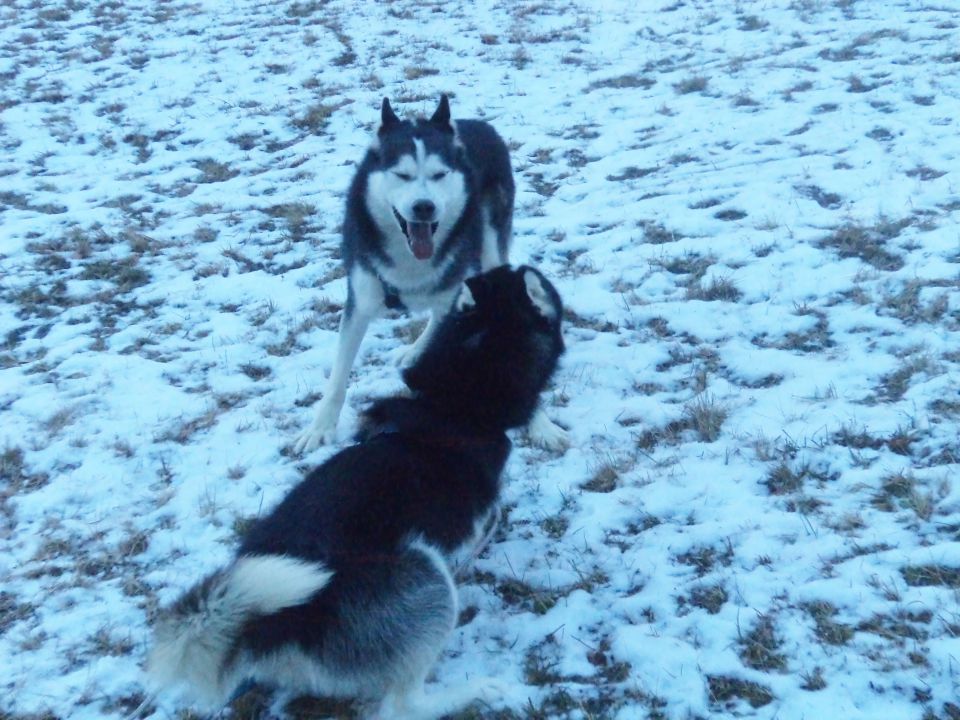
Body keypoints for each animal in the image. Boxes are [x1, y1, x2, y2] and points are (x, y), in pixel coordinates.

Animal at [148, 266, 564, 720]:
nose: (508, 265)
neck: (454, 405)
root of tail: (275, 626)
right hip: (427, 574)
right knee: (403, 705)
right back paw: (480, 691)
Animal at [292, 95, 564, 452]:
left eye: (439, 174)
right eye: (402, 175)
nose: (424, 207)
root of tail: (479, 124)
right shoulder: (361, 298)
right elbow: (338, 377)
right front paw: (319, 428)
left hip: (490, 248)